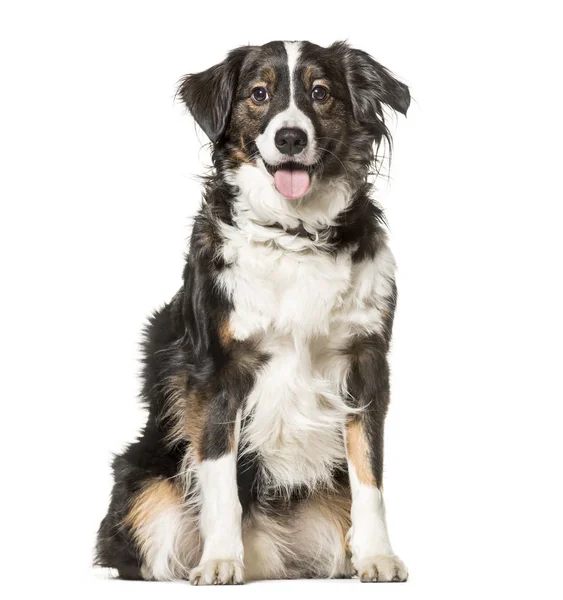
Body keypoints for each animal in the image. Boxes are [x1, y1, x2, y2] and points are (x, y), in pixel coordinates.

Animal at [96, 39, 410, 584]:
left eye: (320, 93)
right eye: (259, 94)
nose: (290, 137)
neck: (294, 234)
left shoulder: (366, 362)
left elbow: (369, 473)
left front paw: (377, 555)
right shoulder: (217, 371)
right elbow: (219, 477)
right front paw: (220, 559)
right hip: (146, 493)